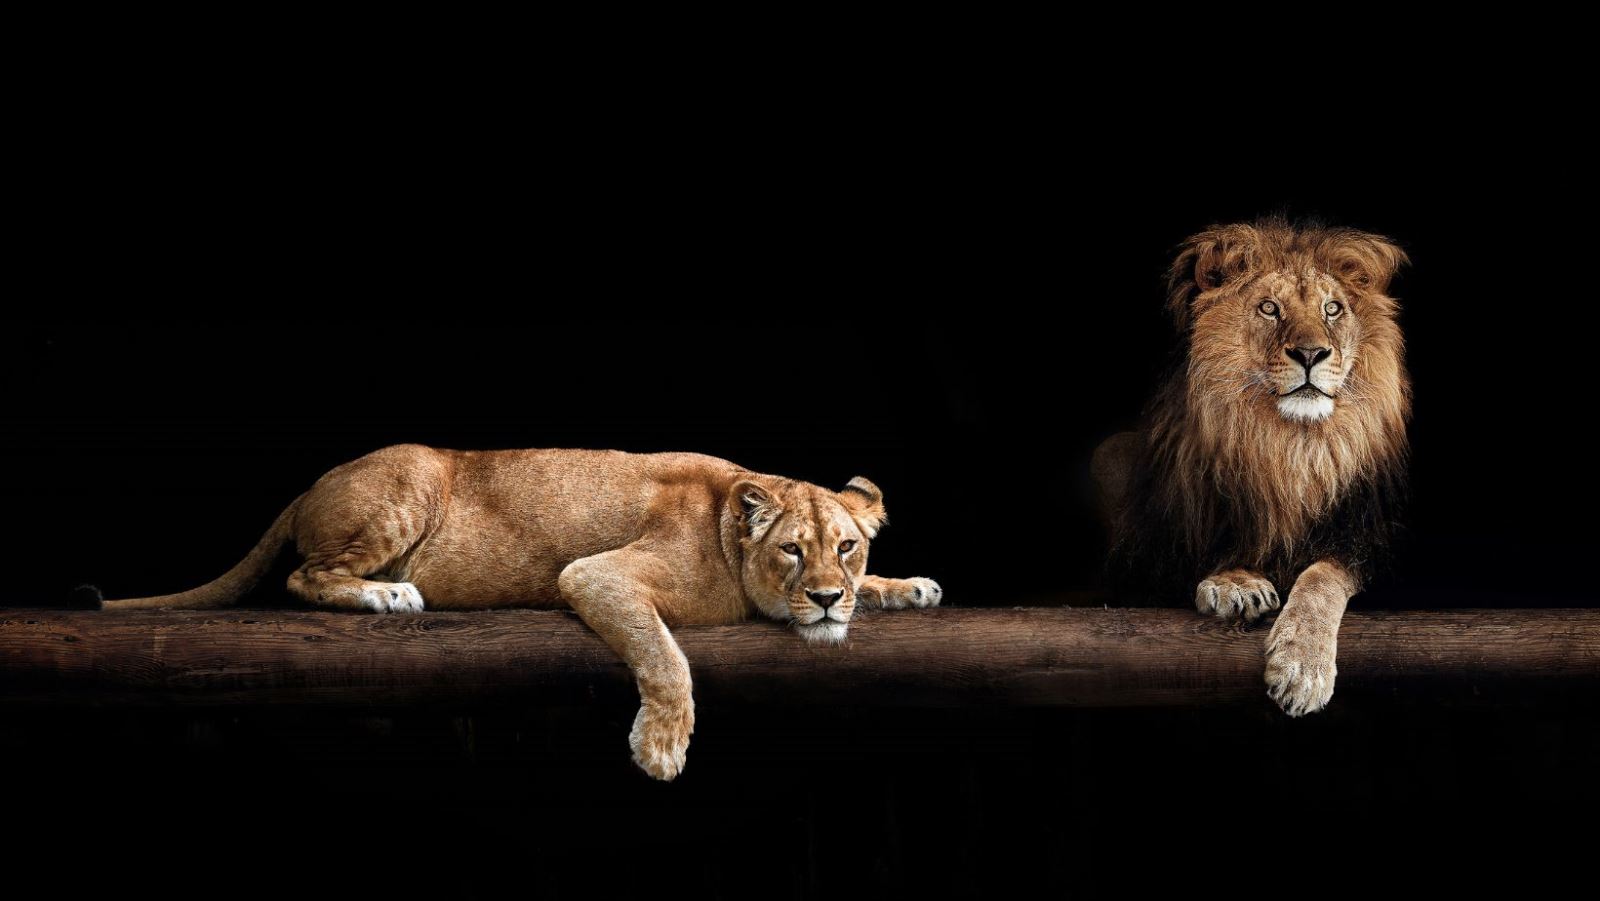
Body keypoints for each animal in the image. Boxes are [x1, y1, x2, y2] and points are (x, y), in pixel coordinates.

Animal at [100, 448, 940, 777]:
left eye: (847, 548)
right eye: (793, 551)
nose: (827, 597)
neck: (730, 524)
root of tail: (311, 483)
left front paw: (908, 585)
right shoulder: (596, 574)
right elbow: (665, 654)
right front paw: (662, 747)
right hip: (407, 486)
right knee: (304, 577)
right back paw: (388, 593)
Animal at [1100, 219, 1414, 720]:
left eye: (1332, 308)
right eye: (1269, 308)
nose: (1311, 354)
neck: (1288, 447)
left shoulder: (1373, 541)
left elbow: (1323, 576)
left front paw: (1302, 669)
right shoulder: (1140, 570)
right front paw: (1236, 583)